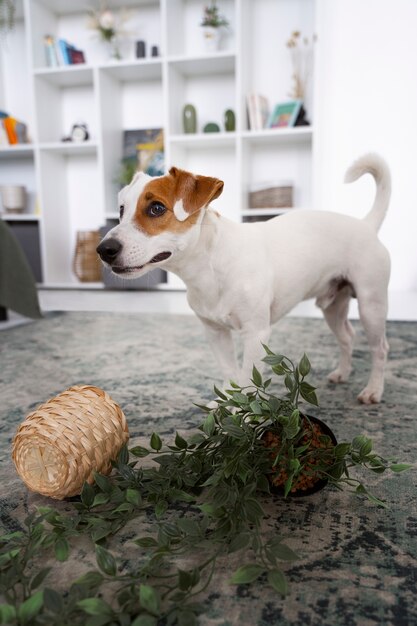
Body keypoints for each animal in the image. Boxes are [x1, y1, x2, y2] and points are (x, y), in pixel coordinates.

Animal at [97, 154, 390, 402]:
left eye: (157, 208)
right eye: (121, 210)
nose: (103, 249)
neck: (210, 268)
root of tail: (366, 224)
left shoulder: (255, 333)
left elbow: (249, 376)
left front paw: (245, 414)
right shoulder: (215, 333)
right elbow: (231, 373)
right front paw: (227, 406)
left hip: (371, 306)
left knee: (380, 349)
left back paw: (374, 390)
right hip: (333, 307)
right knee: (347, 337)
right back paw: (342, 373)